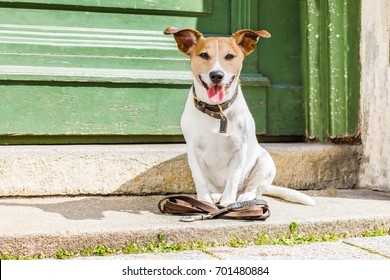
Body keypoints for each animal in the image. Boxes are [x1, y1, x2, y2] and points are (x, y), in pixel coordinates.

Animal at [163, 26, 316, 206]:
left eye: (229, 56)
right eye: (204, 55)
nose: (217, 75)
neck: (217, 111)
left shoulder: (239, 150)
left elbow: (232, 179)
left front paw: (228, 203)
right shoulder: (193, 150)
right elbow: (200, 180)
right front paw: (204, 202)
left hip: (265, 163)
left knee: (254, 188)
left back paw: (245, 197)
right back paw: (216, 196)